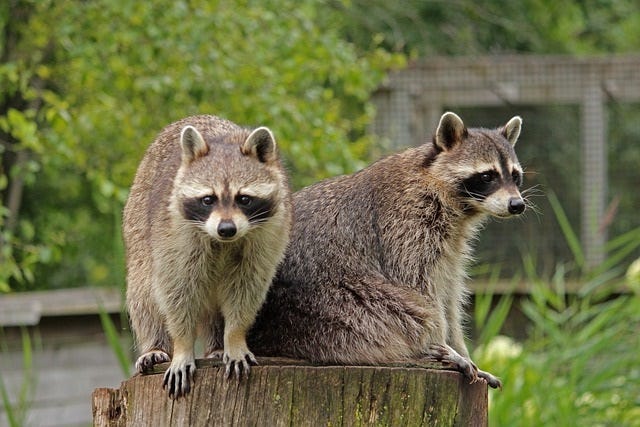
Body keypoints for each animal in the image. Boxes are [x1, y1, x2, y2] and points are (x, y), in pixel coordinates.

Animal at [123, 115, 291, 398]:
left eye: (244, 198)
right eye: (208, 199)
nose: (226, 229)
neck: (223, 241)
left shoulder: (267, 237)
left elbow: (247, 289)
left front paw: (234, 337)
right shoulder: (174, 237)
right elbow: (176, 292)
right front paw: (182, 346)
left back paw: (216, 346)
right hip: (137, 226)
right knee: (144, 293)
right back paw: (155, 344)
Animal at [248, 112, 526, 389]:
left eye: (515, 176)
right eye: (487, 176)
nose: (517, 205)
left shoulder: (452, 246)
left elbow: (448, 295)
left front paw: (459, 346)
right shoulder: (404, 224)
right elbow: (419, 289)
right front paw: (440, 342)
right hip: (326, 305)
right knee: (397, 310)